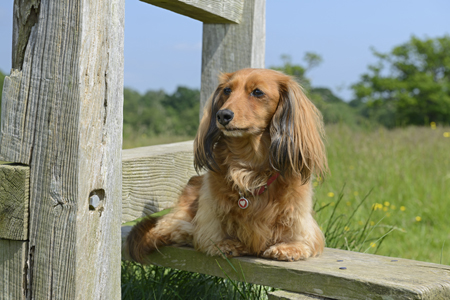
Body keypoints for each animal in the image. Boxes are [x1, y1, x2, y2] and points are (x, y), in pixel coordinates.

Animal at [126, 68, 326, 262]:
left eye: (257, 92)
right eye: (227, 90)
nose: (222, 115)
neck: (249, 164)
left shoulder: (296, 208)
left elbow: (297, 228)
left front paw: (290, 245)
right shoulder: (210, 206)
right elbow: (210, 228)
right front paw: (225, 243)